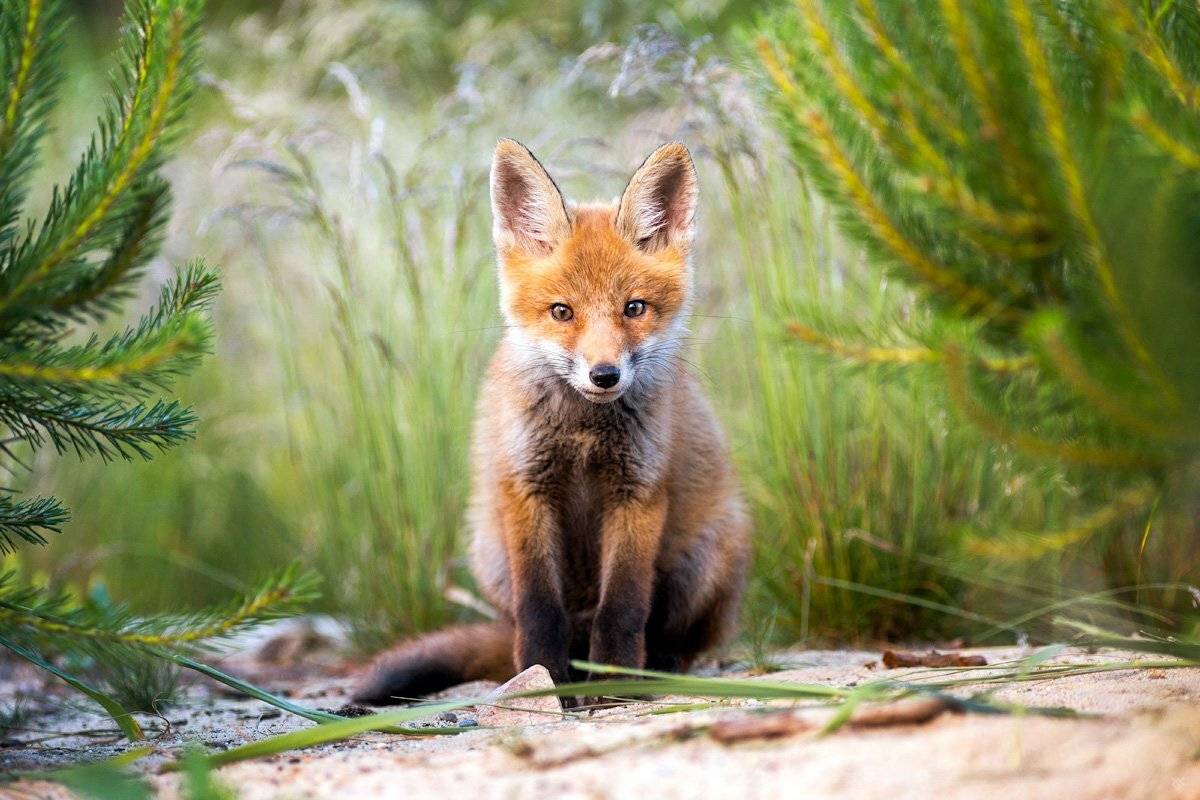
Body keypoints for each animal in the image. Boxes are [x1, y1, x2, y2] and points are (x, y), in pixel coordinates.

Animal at [353, 139, 750, 706]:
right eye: (562, 312)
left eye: (634, 308)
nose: (604, 374)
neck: (583, 432)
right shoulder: (527, 487)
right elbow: (539, 609)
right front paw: (544, 681)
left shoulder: (639, 491)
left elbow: (623, 606)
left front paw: (614, 684)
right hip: (490, 552)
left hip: (704, 557)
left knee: (676, 637)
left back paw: (655, 669)